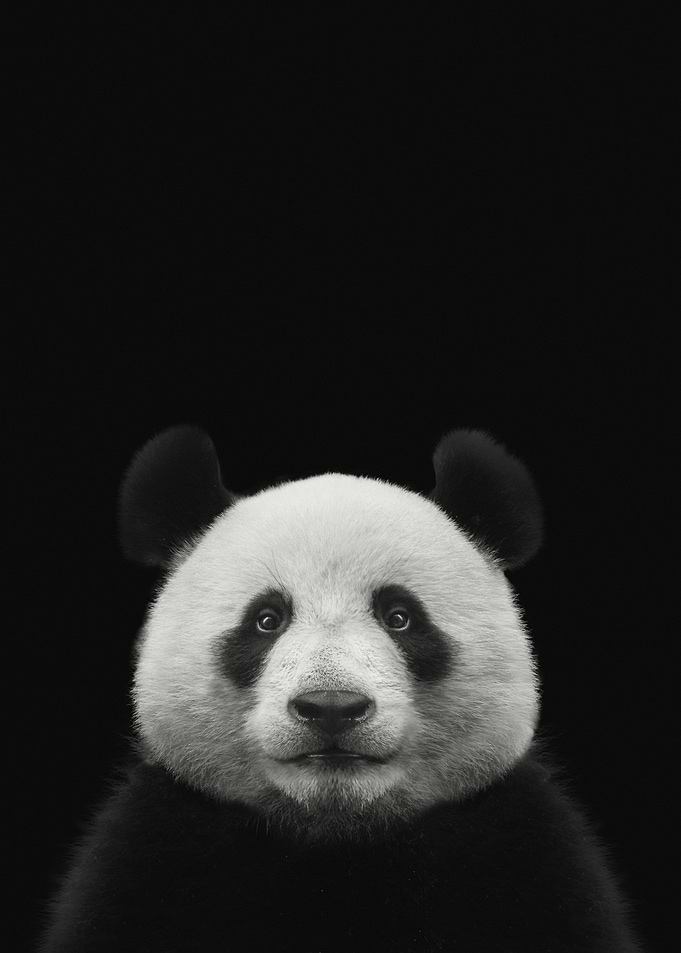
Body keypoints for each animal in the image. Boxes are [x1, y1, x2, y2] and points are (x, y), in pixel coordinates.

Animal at [39, 425, 642, 952]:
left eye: (400, 617)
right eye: (266, 619)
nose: (331, 708)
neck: (336, 835)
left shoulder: (523, 854)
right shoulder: (154, 854)